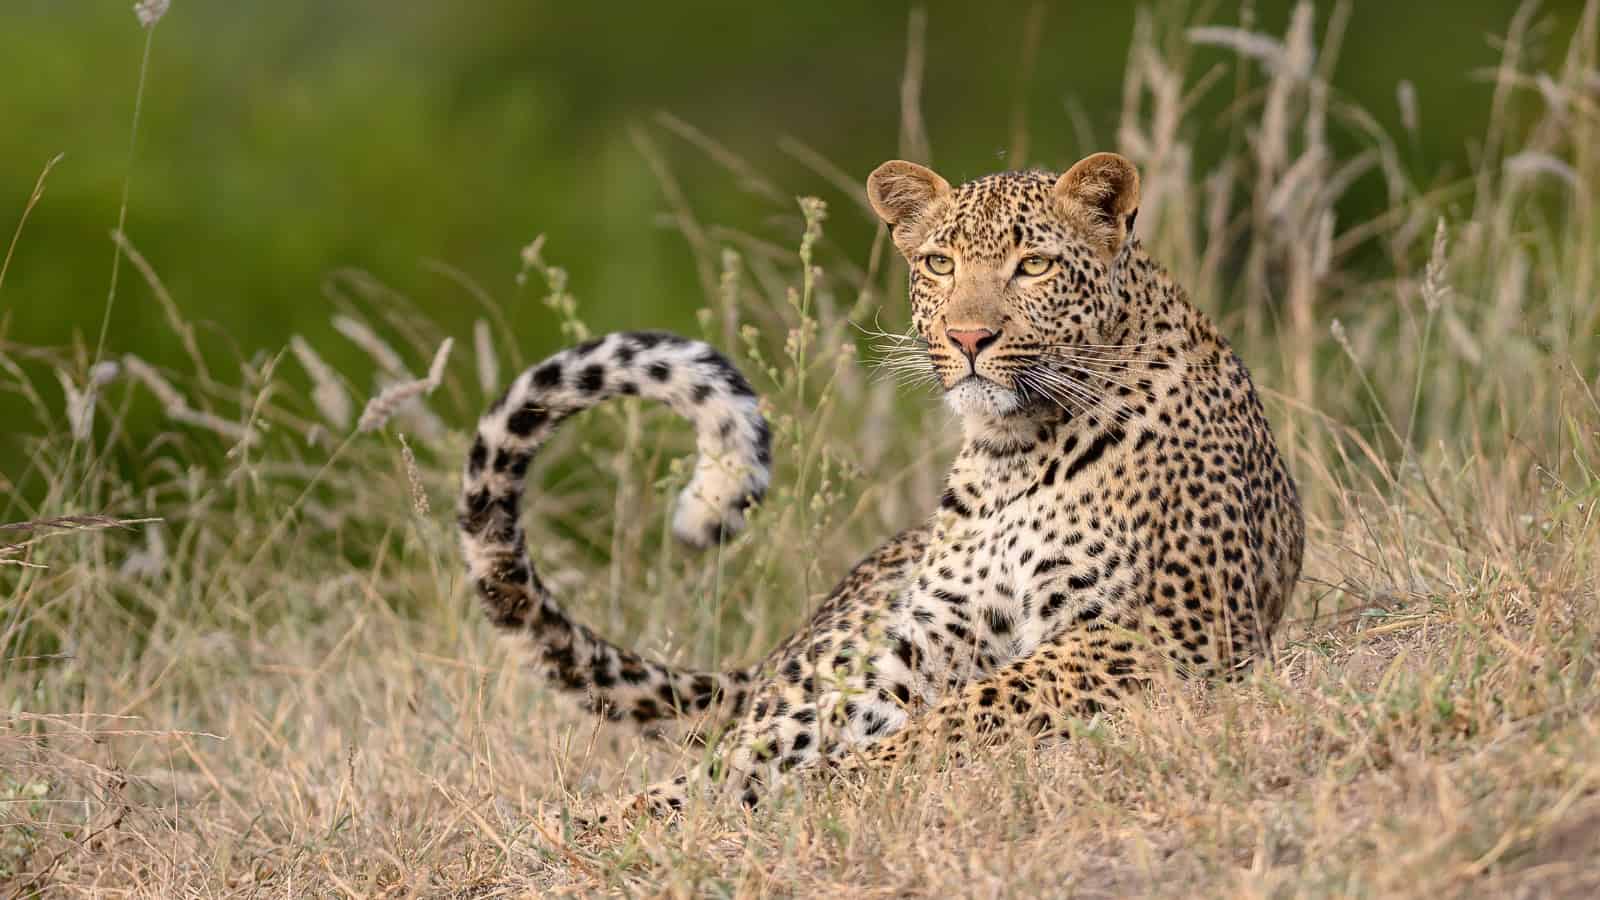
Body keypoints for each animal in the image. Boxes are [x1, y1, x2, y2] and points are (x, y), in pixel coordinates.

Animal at [456, 151, 1305, 818]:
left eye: (1034, 265)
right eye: (939, 264)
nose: (969, 336)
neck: (1013, 452)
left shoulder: (1161, 628)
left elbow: (977, 708)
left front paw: (845, 780)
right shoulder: (926, 640)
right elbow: (811, 742)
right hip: (834, 653)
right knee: (745, 740)